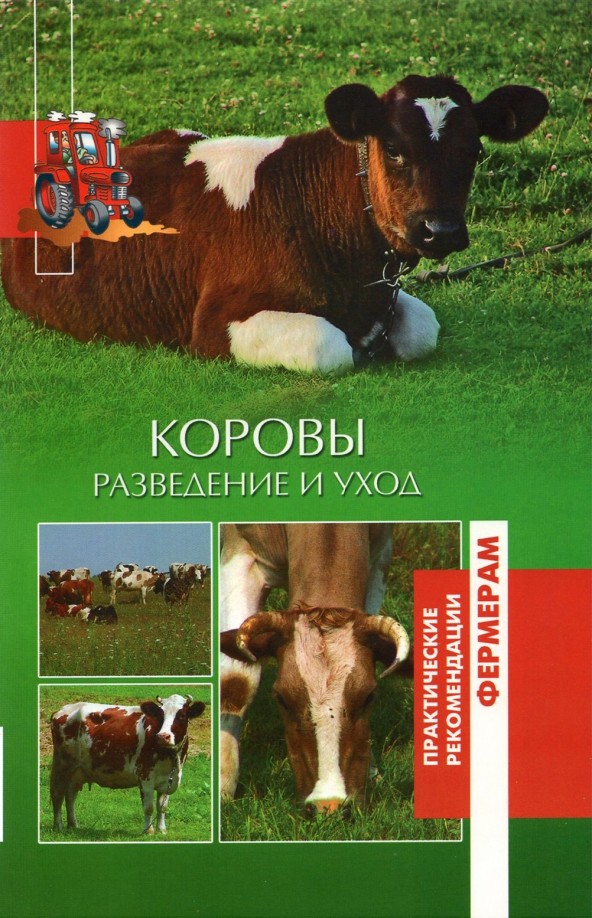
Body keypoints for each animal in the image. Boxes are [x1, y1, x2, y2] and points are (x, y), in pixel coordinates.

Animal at [2, 75, 548, 374]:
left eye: (474, 150)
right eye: (393, 148)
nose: (441, 229)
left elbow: (423, 328)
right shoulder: (213, 321)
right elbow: (328, 345)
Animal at [50, 693, 206, 834]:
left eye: (182, 716)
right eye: (160, 716)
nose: (163, 736)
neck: (169, 757)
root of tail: (63, 709)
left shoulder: (169, 779)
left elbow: (162, 807)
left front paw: (162, 830)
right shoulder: (145, 776)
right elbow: (149, 807)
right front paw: (148, 831)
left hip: (78, 770)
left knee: (70, 795)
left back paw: (73, 825)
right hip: (62, 765)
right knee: (57, 794)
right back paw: (58, 826)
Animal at [219, 523, 410, 812]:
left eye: (369, 697)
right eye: (281, 699)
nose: (328, 805)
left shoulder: (380, 554)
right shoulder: (239, 551)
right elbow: (236, 681)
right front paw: (222, 788)